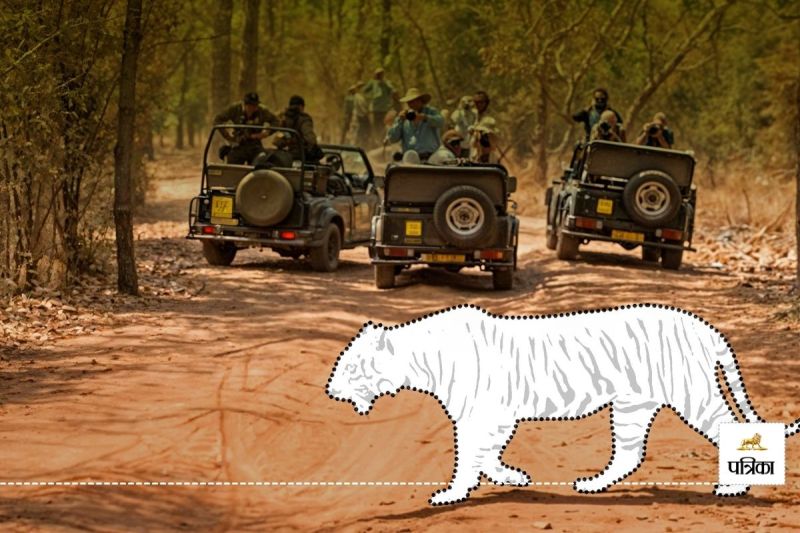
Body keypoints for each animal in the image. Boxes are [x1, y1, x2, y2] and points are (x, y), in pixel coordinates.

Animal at [325, 304, 800, 506]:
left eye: (348, 366)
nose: (329, 390)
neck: (419, 360)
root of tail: (704, 326)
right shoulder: (498, 416)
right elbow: (489, 453)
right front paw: (512, 477)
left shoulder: (480, 414)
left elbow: (468, 456)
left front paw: (452, 494)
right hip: (632, 406)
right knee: (629, 454)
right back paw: (591, 485)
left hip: (691, 394)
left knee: (728, 430)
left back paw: (733, 488)